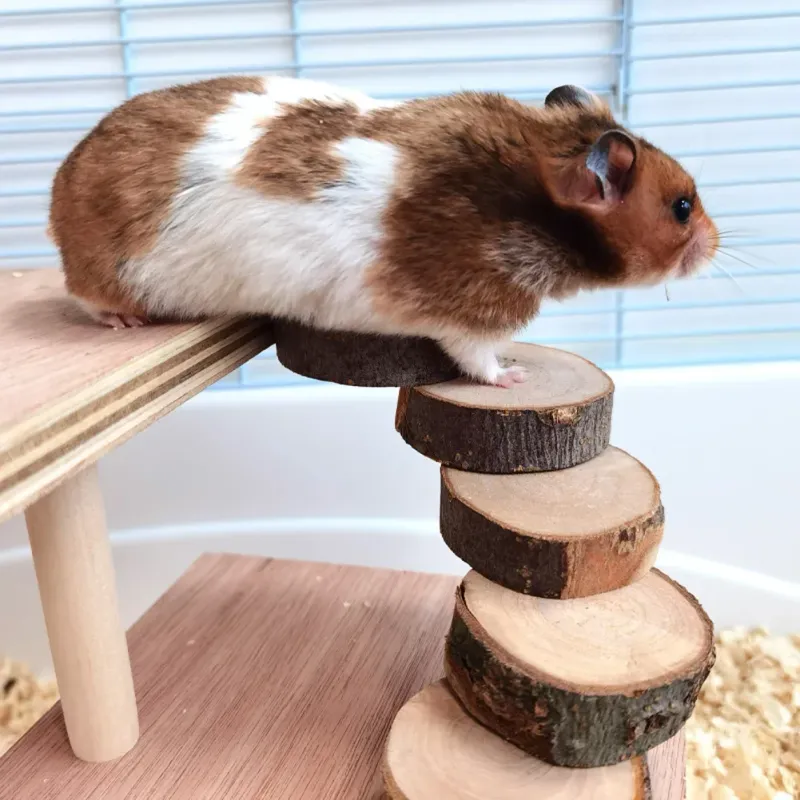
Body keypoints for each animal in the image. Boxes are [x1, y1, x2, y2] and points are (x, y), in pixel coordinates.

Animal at [49, 76, 718, 387]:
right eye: (683, 207)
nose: (715, 246)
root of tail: (62, 179)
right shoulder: (469, 316)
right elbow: (478, 359)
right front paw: (515, 377)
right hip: (105, 272)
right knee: (86, 299)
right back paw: (122, 321)